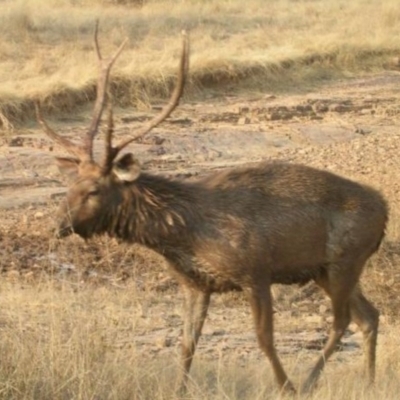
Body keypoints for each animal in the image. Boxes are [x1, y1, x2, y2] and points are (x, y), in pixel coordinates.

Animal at [37, 22, 388, 394]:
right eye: (70, 184)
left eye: (94, 189)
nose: (58, 224)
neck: (183, 234)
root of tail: (384, 210)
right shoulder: (196, 283)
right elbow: (187, 343)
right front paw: (178, 390)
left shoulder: (255, 272)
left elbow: (264, 340)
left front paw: (285, 387)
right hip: (323, 269)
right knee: (369, 316)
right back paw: (368, 382)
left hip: (345, 259)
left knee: (342, 320)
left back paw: (306, 383)